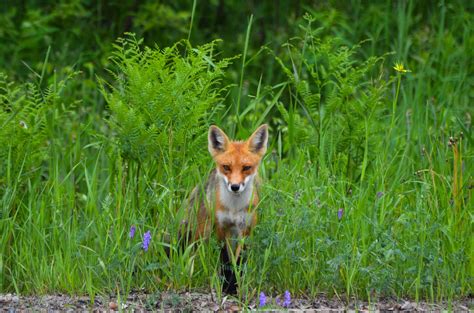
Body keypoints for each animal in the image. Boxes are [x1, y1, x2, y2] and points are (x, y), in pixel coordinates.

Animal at [184, 123, 266, 260]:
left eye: (246, 168)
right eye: (226, 167)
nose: (235, 187)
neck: (234, 208)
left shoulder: (246, 228)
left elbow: (240, 258)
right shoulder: (222, 226)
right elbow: (225, 256)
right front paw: (225, 266)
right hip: (203, 230)